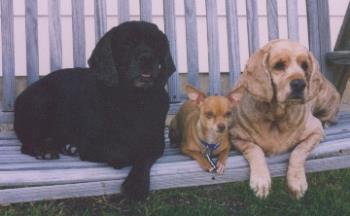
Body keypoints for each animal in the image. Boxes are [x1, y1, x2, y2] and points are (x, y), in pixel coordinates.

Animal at [14, 21, 175, 200]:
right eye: (128, 44)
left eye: (156, 44)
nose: (147, 57)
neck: (133, 100)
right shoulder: (91, 141)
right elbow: (120, 152)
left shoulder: (156, 142)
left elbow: (143, 157)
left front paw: (136, 185)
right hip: (41, 99)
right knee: (27, 142)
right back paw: (45, 150)